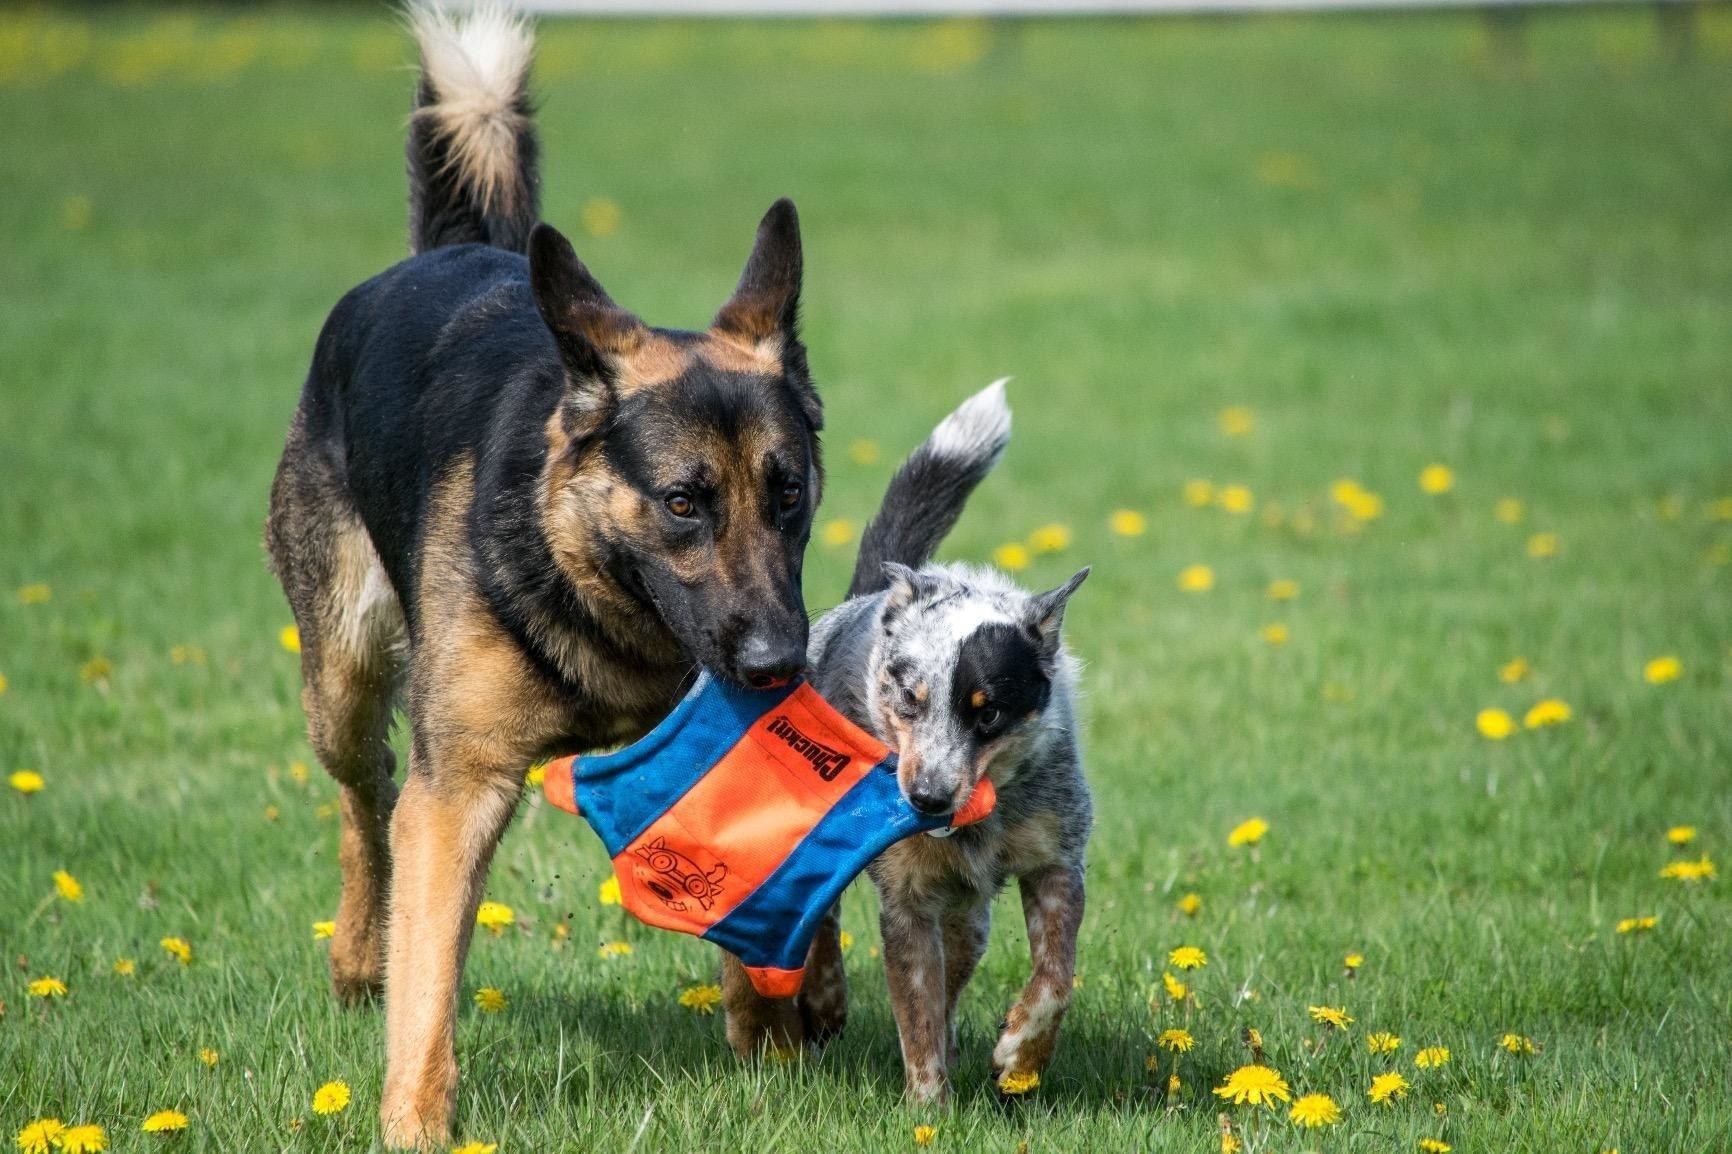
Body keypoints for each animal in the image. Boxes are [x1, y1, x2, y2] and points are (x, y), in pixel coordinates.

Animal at [270, 6, 831, 1143]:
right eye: (683, 501)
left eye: (788, 493)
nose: (773, 663)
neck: (600, 594)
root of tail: (455, 251)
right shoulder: (459, 790)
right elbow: (429, 986)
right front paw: (413, 1123)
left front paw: (779, 1018)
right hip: (342, 677)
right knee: (365, 793)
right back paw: (358, 956)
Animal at [713, 381, 1087, 1102]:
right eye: (908, 697)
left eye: (989, 714)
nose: (928, 800)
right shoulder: (907, 896)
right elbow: (916, 1008)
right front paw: (928, 1107)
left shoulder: (1057, 859)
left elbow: (1054, 976)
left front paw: (1018, 1055)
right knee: (815, 920)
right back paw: (814, 1005)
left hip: (969, 913)